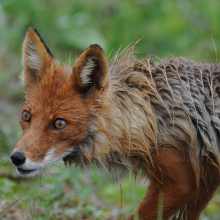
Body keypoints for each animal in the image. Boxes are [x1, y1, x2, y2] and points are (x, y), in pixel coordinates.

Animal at [10, 27, 220, 220]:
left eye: (59, 123)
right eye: (26, 116)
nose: (16, 158)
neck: (145, 116)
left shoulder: (180, 183)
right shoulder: (205, 182)